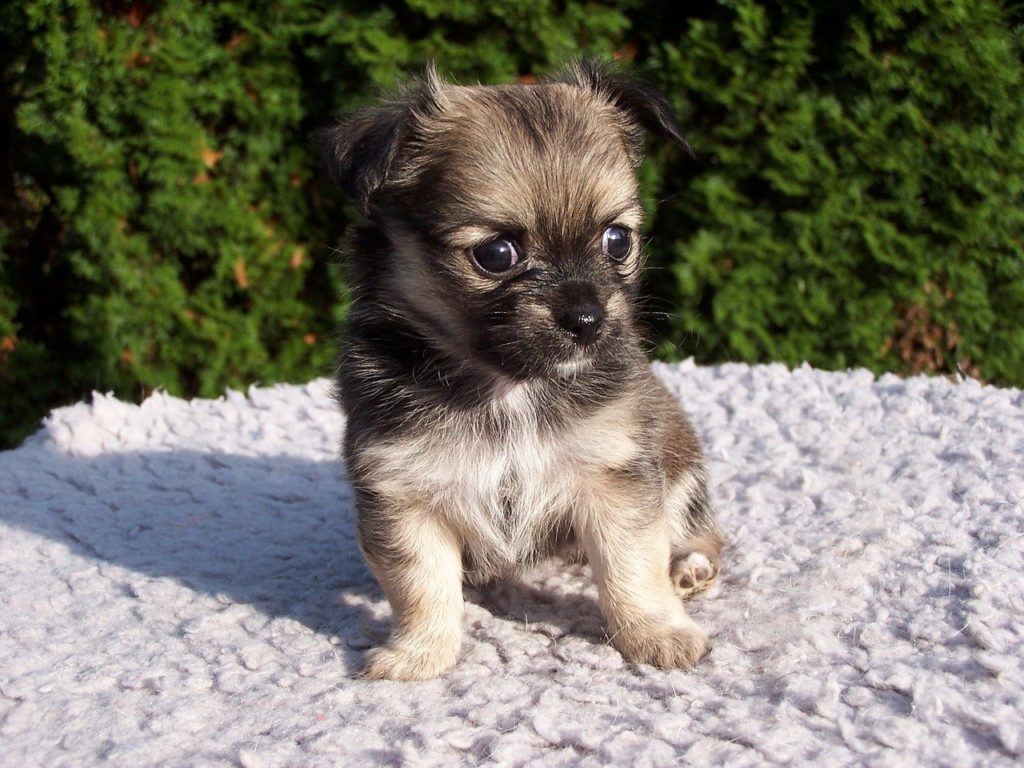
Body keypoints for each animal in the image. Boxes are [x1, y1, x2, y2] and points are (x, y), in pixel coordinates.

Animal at [323, 61, 724, 684]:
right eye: (496, 254)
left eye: (617, 241)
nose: (587, 318)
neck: (507, 388)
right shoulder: (404, 494)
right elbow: (421, 586)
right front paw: (419, 654)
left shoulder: (616, 478)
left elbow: (632, 568)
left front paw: (656, 633)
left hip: (681, 469)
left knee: (706, 536)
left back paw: (689, 568)